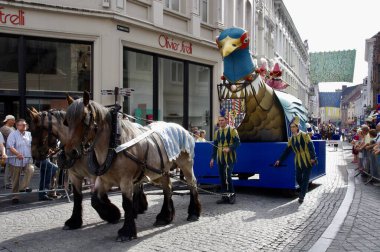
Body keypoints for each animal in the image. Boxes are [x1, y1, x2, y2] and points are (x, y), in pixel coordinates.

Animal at [62, 91, 202, 241]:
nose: (70, 152)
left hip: (186, 165)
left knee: (192, 184)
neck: (114, 145)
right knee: (167, 189)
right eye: (67, 122)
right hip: (162, 170)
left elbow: (126, 203)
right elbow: (94, 200)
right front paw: (112, 214)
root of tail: (183, 129)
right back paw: (165, 216)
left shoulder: (126, 180)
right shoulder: (104, 180)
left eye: (84, 119)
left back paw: (193, 213)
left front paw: (126, 232)